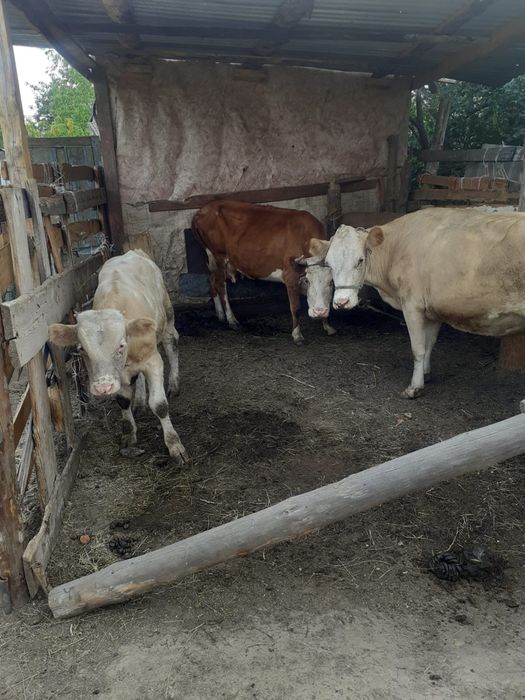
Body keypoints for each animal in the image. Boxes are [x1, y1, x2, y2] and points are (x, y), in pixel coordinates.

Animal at [48, 250, 188, 463]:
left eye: (121, 345)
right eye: (82, 349)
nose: (103, 387)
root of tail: (133, 251)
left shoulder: (152, 360)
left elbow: (160, 405)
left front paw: (174, 445)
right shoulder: (119, 375)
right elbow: (123, 401)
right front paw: (128, 434)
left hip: (167, 313)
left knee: (171, 341)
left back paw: (173, 383)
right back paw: (139, 401)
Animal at [192, 200, 336, 344]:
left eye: (331, 283)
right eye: (307, 281)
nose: (319, 312)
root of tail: (203, 209)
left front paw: (328, 326)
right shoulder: (291, 275)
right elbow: (295, 307)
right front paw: (297, 335)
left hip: (211, 259)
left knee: (211, 281)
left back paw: (220, 314)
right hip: (219, 256)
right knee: (221, 286)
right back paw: (231, 319)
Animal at [303, 207, 525, 398]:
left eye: (360, 260)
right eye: (329, 263)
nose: (341, 302)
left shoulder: (412, 305)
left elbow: (417, 348)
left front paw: (415, 387)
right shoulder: (433, 310)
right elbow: (429, 344)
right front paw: (426, 373)